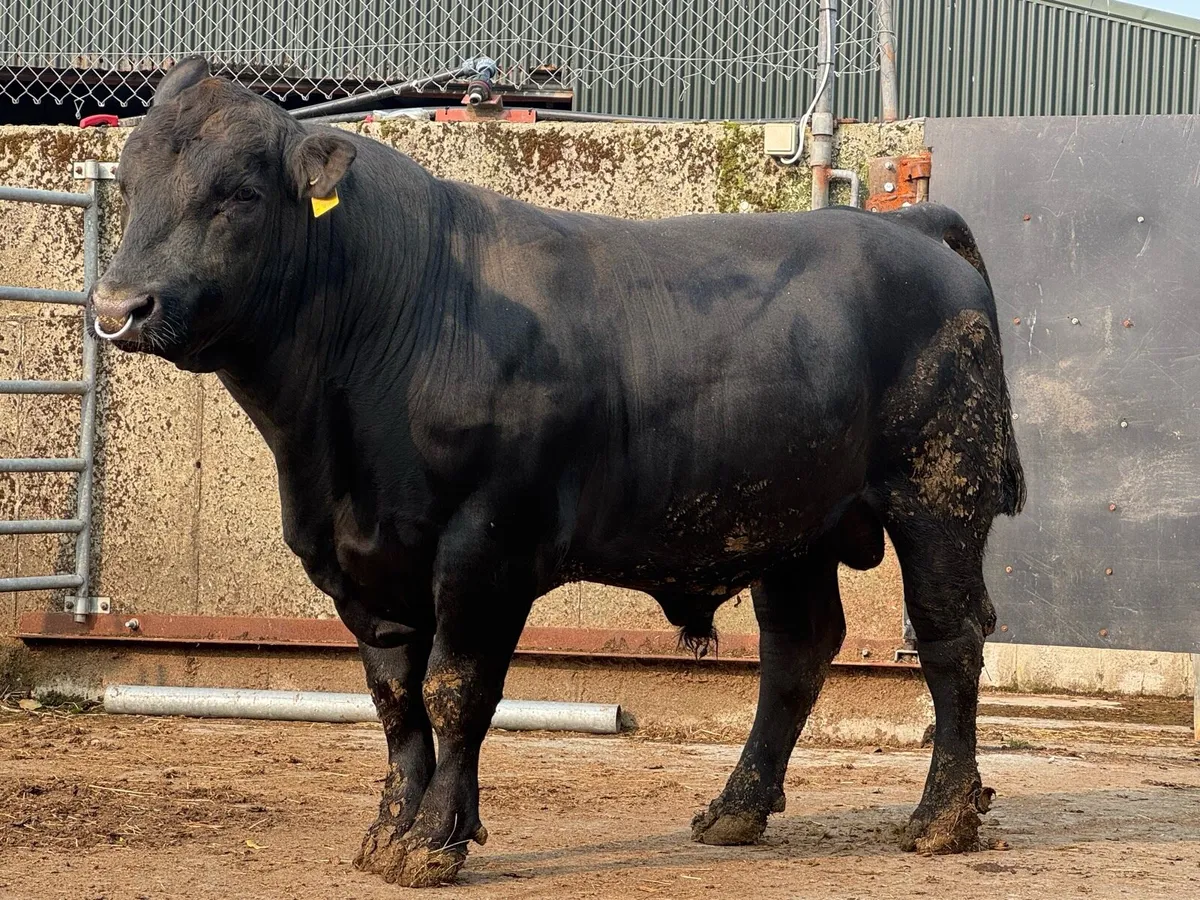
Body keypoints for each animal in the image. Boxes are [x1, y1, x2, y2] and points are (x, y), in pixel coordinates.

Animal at [90, 57, 1025, 887]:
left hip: (940, 495)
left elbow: (457, 690)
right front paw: (391, 830)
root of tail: (906, 227)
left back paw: (940, 817)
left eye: (238, 196)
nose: (117, 308)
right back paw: (736, 809)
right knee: (797, 649)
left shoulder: (486, 546)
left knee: (950, 637)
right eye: (129, 187)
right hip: (790, 520)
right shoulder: (357, 564)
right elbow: (395, 700)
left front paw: (433, 840)